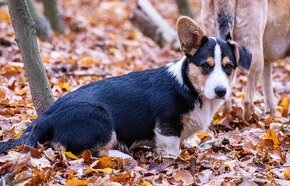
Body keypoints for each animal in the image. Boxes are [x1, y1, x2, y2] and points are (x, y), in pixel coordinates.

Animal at [0, 16, 250, 158]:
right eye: (206, 66)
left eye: (229, 67)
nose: (221, 91)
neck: (189, 86)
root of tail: (44, 118)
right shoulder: (167, 127)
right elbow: (171, 151)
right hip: (99, 116)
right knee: (86, 151)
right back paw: (123, 156)